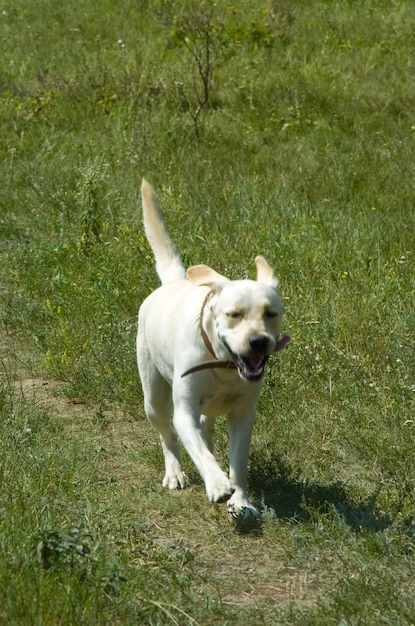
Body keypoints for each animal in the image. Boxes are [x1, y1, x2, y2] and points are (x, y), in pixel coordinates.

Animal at [136, 179, 290, 516]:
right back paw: (175, 472)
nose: (259, 341)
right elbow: (196, 448)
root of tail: (173, 282)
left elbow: (239, 463)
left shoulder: (244, 413)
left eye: (270, 313)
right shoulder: (184, 411)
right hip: (153, 398)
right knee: (168, 435)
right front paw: (218, 484)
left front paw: (241, 499)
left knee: (206, 430)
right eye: (234, 314)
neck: (224, 365)